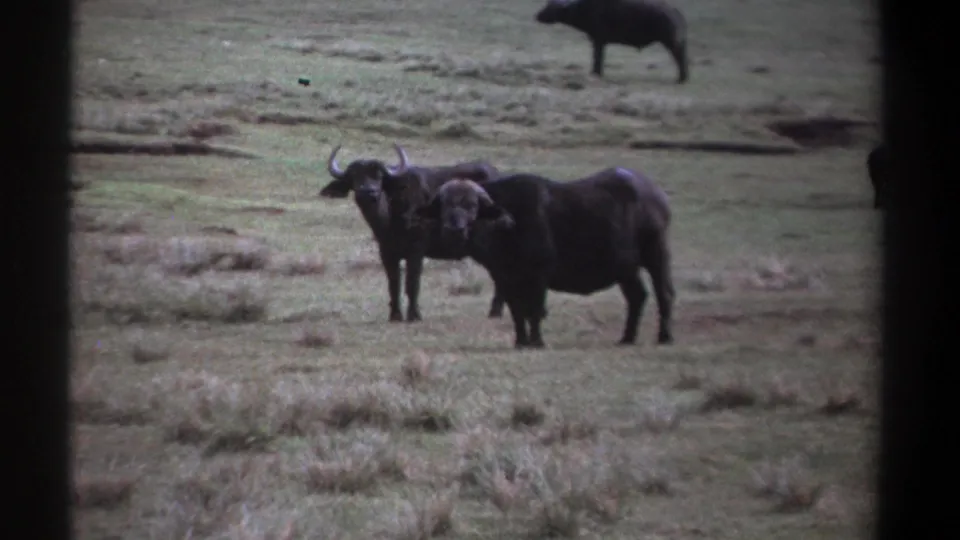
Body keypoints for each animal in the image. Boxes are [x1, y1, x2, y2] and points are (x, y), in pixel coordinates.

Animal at [320, 144, 508, 321]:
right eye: (354, 176)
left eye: (379, 176)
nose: (368, 192)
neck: (390, 216)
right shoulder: (386, 253)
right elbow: (393, 283)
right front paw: (395, 315)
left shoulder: (416, 251)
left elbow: (412, 283)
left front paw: (414, 315)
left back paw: (495, 311)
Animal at [413, 168, 675, 349]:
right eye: (444, 205)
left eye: (472, 205)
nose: (454, 229)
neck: (509, 226)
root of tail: (657, 194)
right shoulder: (506, 278)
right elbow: (517, 311)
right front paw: (520, 341)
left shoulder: (539, 275)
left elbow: (535, 310)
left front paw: (536, 341)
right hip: (626, 269)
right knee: (637, 296)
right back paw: (627, 337)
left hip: (656, 253)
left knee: (664, 292)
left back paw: (664, 336)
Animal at [535, 0, 690, 84]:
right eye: (548, 4)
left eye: (552, 7)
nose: (537, 16)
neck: (584, 7)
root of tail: (676, 13)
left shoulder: (598, 41)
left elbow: (597, 58)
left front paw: (596, 73)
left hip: (672, 42)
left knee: (680, 59)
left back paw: (681, 79)